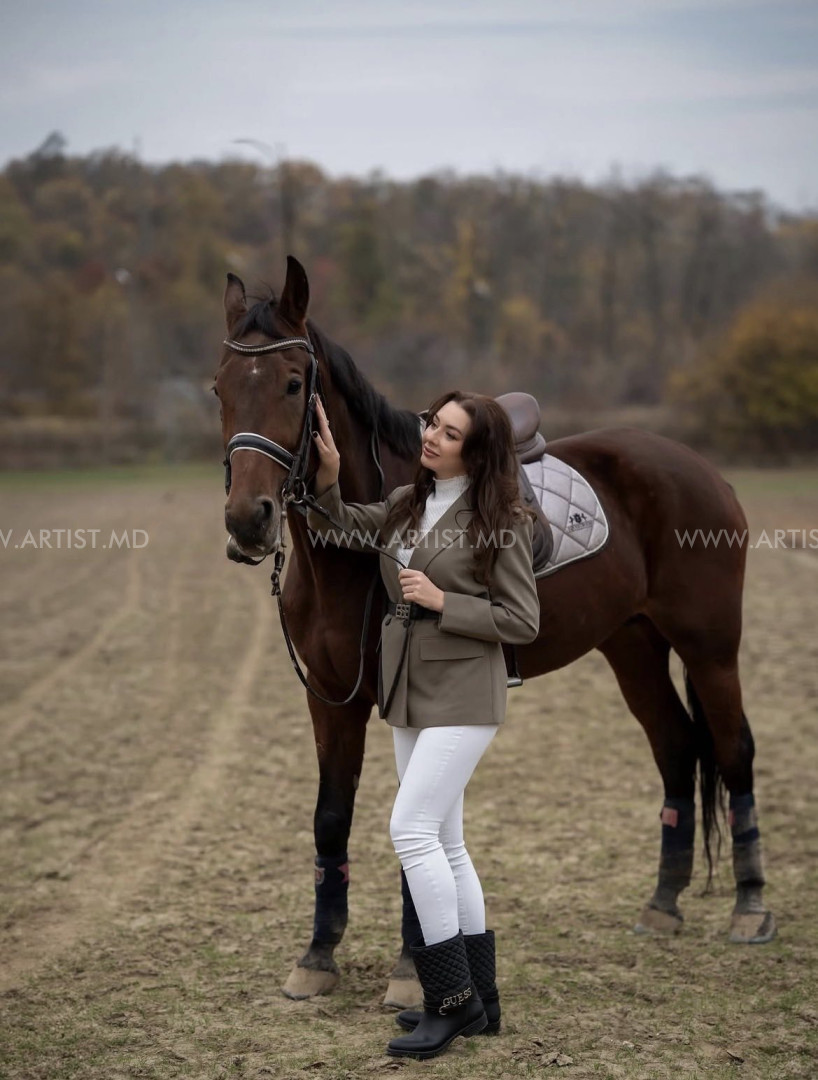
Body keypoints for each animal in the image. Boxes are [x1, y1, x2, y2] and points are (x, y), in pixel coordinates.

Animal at [214, 256, 775, 1004]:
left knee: (735, 750)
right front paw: (318, 955)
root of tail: (703, 470)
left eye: (293, 383)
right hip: (632, 645)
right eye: (219, 386)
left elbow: (415, 817)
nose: (248, 519)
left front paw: (412, 970)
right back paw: (663, 904)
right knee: (677, 747)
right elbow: (331, 815)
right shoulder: (329, 699)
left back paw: (750, 906)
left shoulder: (406, 700)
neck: (349, 556)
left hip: (710, 646)